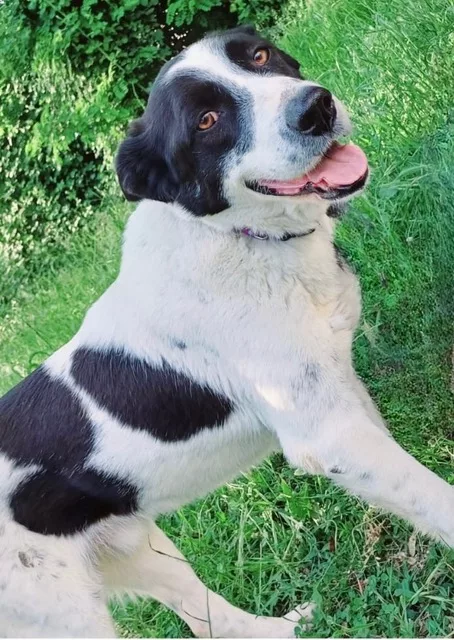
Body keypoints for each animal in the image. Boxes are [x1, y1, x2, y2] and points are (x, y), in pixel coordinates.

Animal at [0, 25, 453, 638]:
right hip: (64, 613)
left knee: (210, 620)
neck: (239, 238)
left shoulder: (339, 392)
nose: (316, 107)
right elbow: (434, 498)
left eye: (258, 55)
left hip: (137, 549)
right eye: (207, 121)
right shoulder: (330, 435)